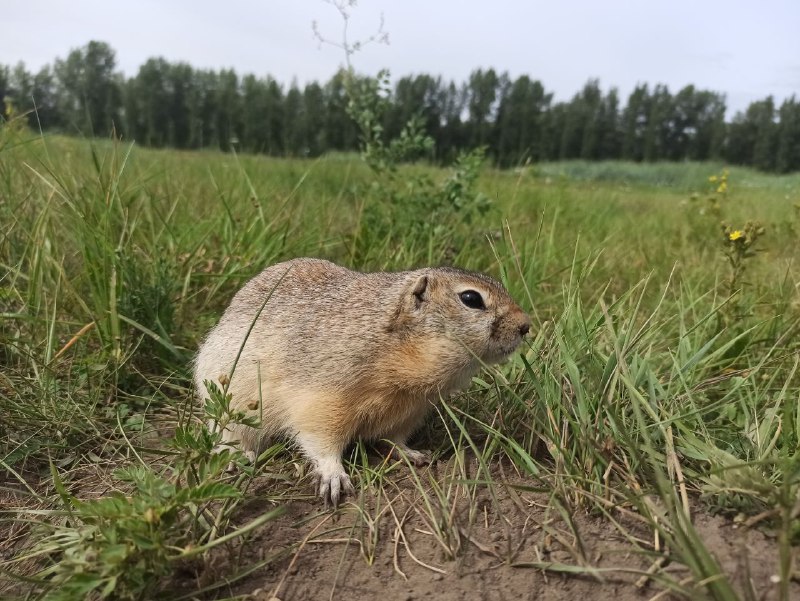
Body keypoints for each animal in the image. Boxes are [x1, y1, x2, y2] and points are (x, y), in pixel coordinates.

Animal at [194, 258, 531, 507]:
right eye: (471, 298)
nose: (526, 325)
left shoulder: (412, 410)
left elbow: (395, 438)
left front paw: (413, 454)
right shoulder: (323, 397)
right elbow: (320, 439)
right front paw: (334, 477)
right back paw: (238, 455)